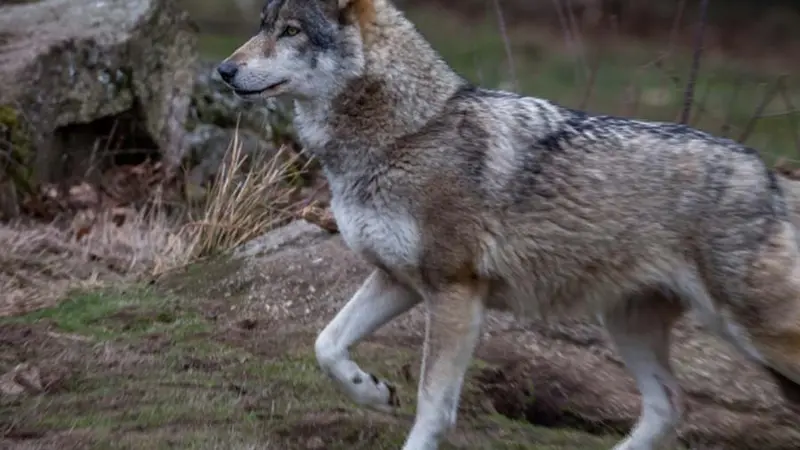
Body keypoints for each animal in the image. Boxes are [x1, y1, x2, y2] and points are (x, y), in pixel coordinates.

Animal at [217, 0, 800, 448]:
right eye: (263, 24)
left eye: (291, 31)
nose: (223, 70)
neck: (406, 132)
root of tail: (769, 176)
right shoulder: (397, 280)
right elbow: (326, 345)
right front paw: (373, 392)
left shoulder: (454, 292)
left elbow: (434, 406)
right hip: (628, 324)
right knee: (670, 407)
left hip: (748, 334)